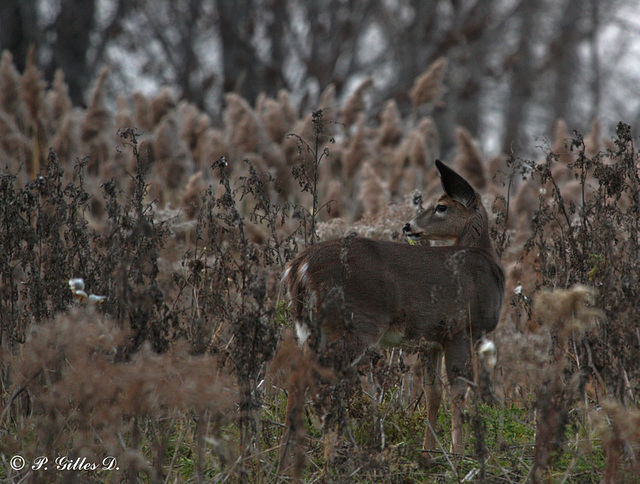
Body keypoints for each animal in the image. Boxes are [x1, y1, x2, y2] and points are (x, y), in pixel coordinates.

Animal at [280, 160, 504, 462]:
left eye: (441, 206)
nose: (408, 225)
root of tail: (298, 268)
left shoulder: (432, 340)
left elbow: (433, 394)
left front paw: (429, 453)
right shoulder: (462, 328)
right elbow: (458, 393)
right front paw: (458, 455)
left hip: (310, 328)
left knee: (297, 376)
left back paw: (284, 456)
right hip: (354, 324)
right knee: (325, 383)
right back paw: (329, 456)